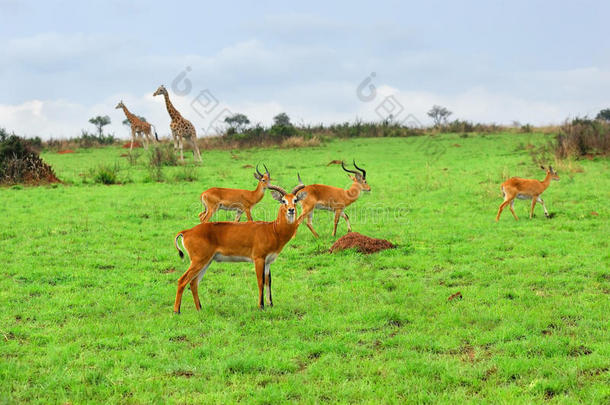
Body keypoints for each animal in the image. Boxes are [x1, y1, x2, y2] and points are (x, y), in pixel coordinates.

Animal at [172, 183, 306, 312]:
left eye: (295, 200)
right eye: (283, 200)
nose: (291, 210)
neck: (273, 230)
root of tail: (186, 232)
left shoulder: (268, 261)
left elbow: (268, 282)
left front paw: (271, 304)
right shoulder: (258, 259)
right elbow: (260, 281)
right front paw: (261, 306)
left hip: (206, 261)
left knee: (193, 283)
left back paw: (199, 309)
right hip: (199, 261)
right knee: (182, 280)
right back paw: (177, 311)